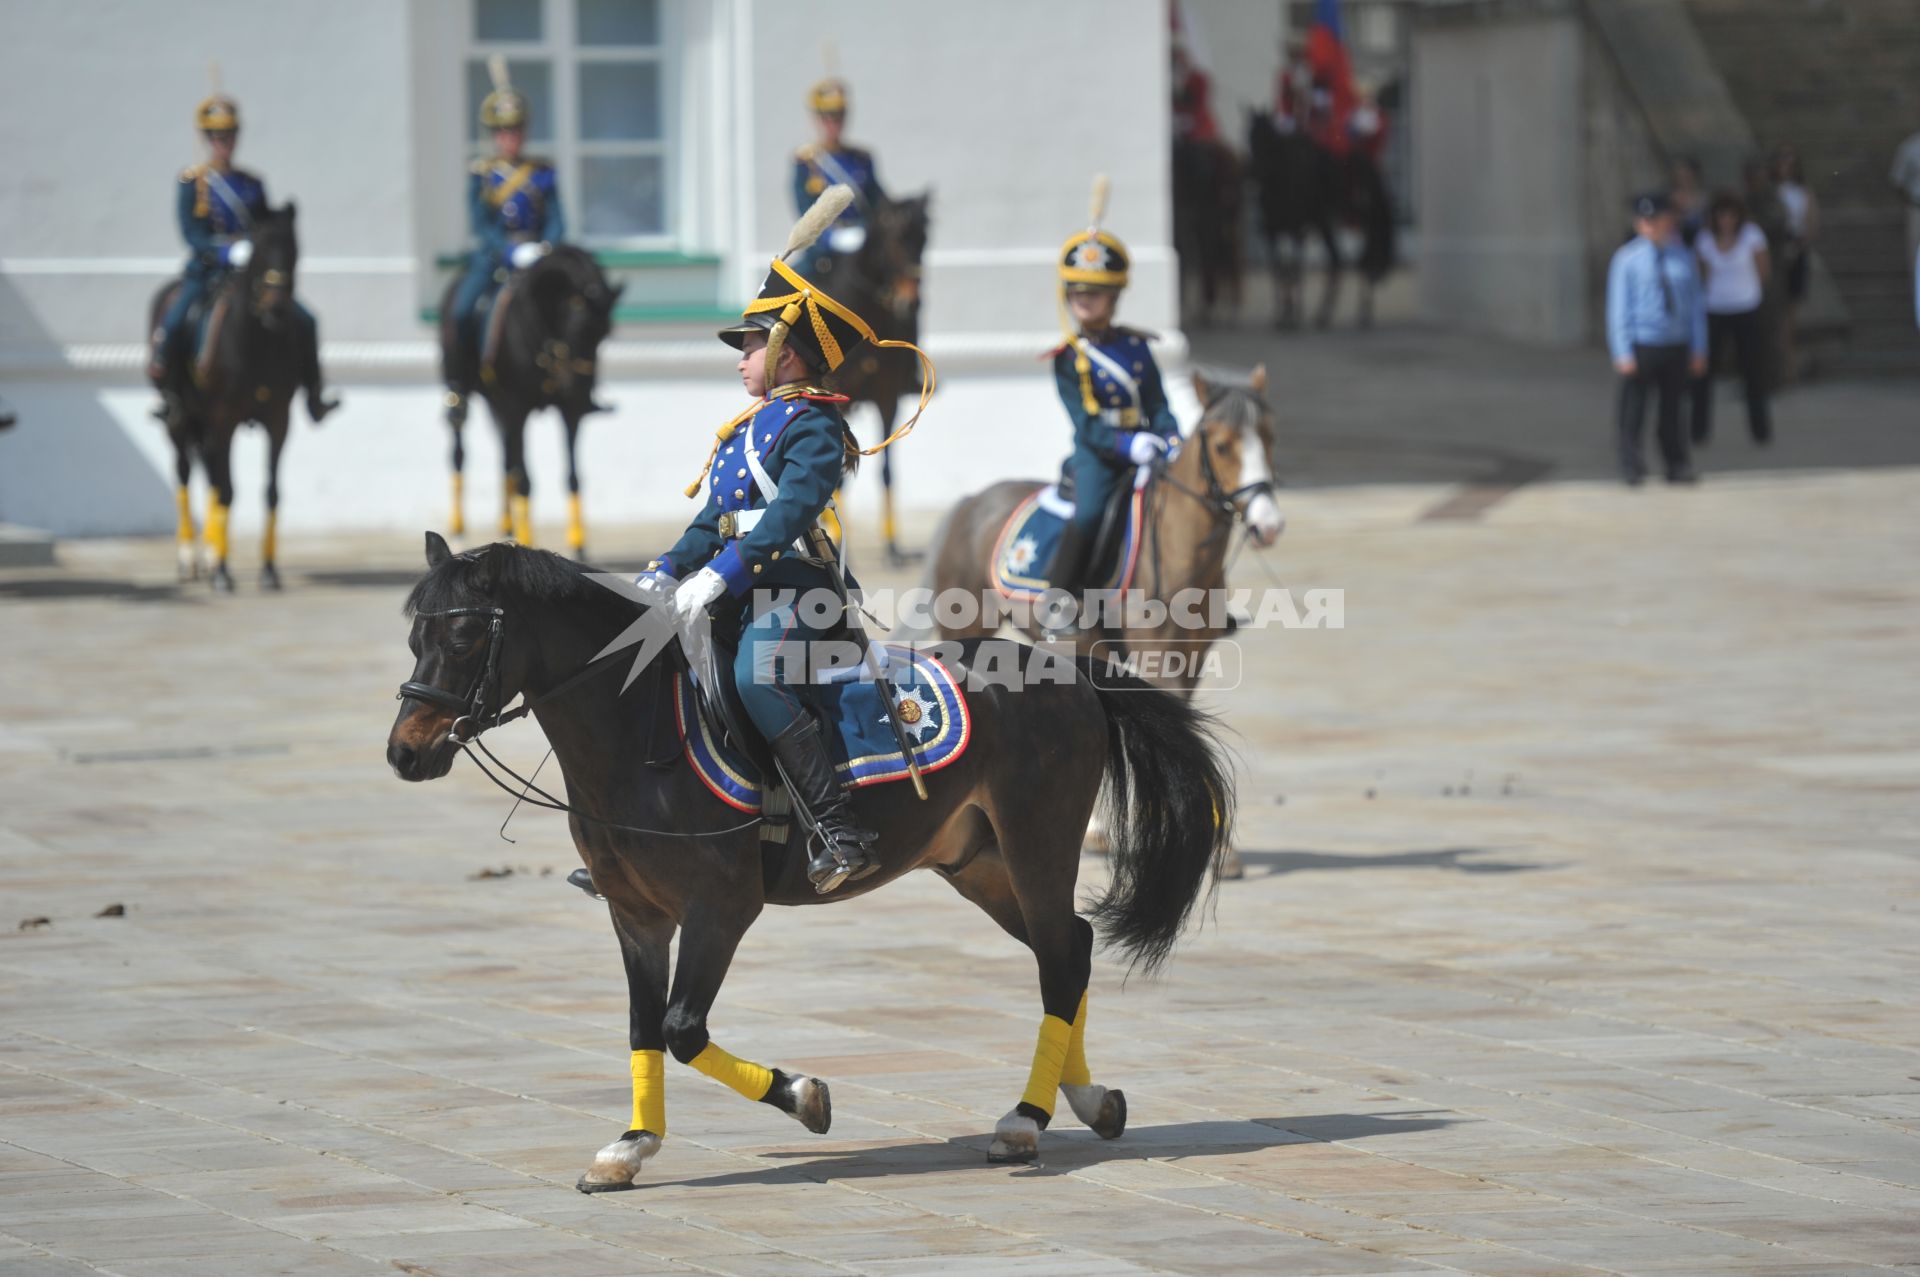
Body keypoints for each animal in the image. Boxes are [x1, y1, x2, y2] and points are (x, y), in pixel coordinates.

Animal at [146, 204, 311, 591]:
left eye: (295, 248)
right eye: (259, 248)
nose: (277, 308)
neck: (258, 341)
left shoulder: (278, 421)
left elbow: (270, 490)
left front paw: (268, 569)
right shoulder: (224, 419)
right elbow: (227, 490)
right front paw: (222, 571)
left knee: (209, 472)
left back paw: (208, 553)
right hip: (180, 421)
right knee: (185, 473)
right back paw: (190, 558)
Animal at [391, 530, 1236, 1182]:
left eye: (462, 638)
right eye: (413, 637)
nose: (405, 752)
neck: (639, 737)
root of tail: (1068, 672)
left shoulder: (721, 908)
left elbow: (681, 1027)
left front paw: (805, 1097)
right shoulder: (636, 917)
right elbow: (641, 1027)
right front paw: (631, 1146)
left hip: (1037, 846)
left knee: (1061, 961)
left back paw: (1025, 1118)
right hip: (980, 865)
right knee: (1073, 948)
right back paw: (1091, 1102)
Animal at [439, 243, 618, 553]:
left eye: (605, 335)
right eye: (578, 329)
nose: (582, 393)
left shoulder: (568, 412)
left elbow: (572, 474)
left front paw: (578, 540)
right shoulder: (516, 408)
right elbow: (524, 478)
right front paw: (526, 541)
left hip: (498, 406)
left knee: (506, 458)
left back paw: (506, 524)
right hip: (468, 398)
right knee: (461, 450)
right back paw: (460, 527)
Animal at [806, 192, 933, 564]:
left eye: (924, 238)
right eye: (895, 240)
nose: (911, 300)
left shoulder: (887, 398)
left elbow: (887, 469)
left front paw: (892, 545)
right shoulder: (839, 399)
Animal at [1244, 111, 1397, 328]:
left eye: (1268, 139)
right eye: (1249, 137)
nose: (1254, 173)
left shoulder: (1296, 231)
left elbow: (1294, 269)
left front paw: (1294, 315)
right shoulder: (1272, 232)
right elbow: (1279, 270)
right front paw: (1282, 314)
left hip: (1343, 211)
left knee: (1368, 234)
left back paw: (1363, 310)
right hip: (1326, 221)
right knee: (1337, 259)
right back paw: (1324, 313)